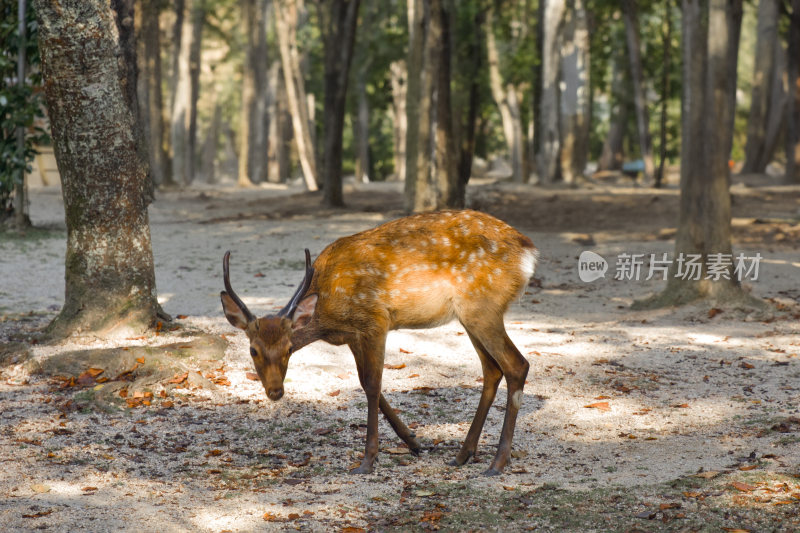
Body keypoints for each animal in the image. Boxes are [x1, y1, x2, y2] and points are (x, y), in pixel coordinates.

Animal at [222, 208, 540, 474]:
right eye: (253, 350)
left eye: (288, 349)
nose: (275, 391)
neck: (328, 314)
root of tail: (529, 251)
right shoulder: (353, 335)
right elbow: (364, 382)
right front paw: (413, 441)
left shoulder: (375, 320)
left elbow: (373, 385)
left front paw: (368, 460)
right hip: (470, 314)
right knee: (492, 369)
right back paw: (463, 454)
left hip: (482, 305)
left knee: (516, 365)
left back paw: (497, 462)